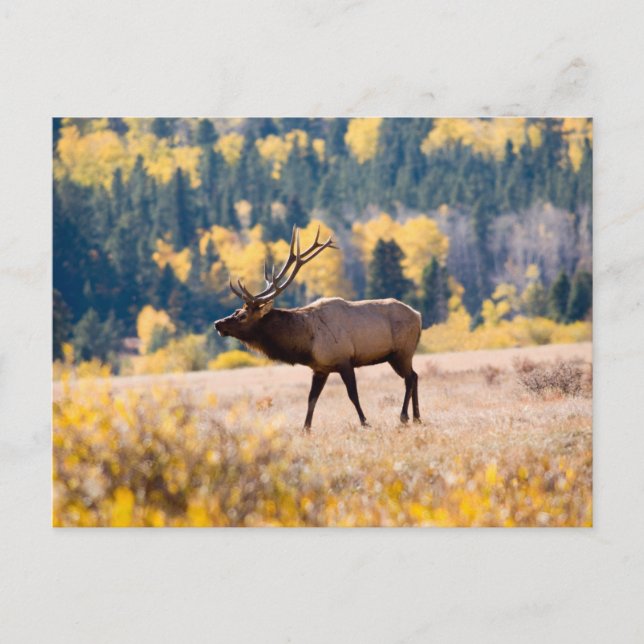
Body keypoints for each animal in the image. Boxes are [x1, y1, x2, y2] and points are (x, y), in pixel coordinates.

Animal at [213, 226, 422, 431]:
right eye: (236, 310)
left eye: (242, 316)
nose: (218, 324)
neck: (306, 343)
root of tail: (418, 315)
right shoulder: (320, 368)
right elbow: (311, 399)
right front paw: (305, 429)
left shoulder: (344, 360)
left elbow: (352, 394)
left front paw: (365, 422)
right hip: (398, 355)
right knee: (415, 375)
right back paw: (417, 418)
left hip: (402, 351)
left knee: (409, 378)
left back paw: (404, 416)